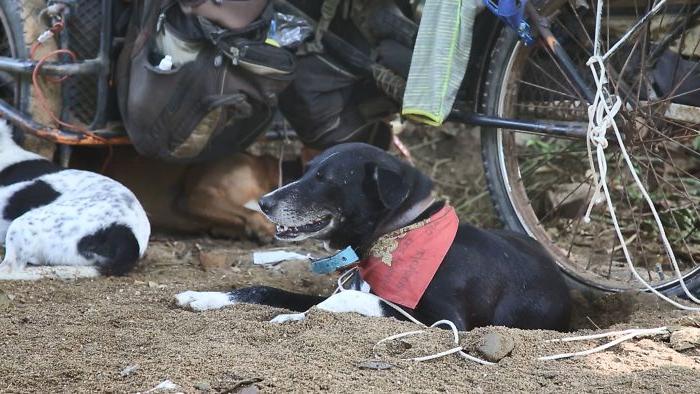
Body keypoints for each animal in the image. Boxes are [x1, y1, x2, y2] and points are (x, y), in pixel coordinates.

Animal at [175, 143, 568, 330]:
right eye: (306, 171)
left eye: (326, 179)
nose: (264, 202)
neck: (399, 232)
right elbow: (263, 289)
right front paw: (204, 296)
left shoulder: (445, 320)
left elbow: (349, 300)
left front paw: (296, 319)